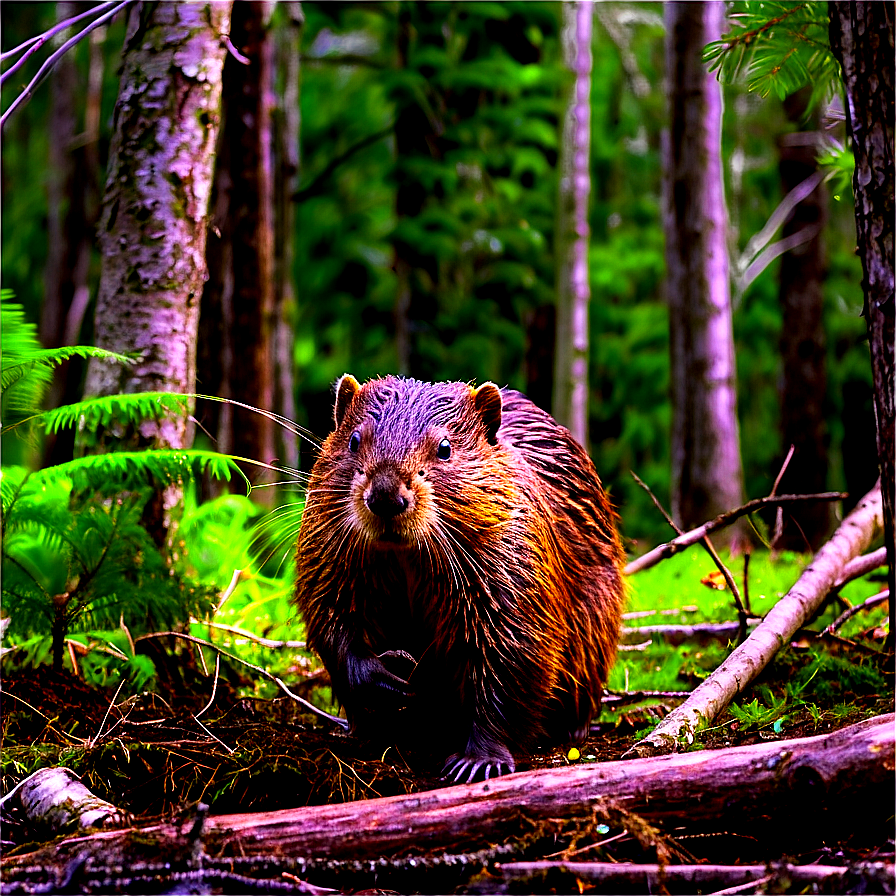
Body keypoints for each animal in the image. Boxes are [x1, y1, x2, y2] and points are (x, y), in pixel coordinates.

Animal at [294, 374, 624, 780]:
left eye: (445, 448)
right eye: (354, 440)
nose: (386, 496)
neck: (406, 558)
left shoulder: (512, 555)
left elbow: (513, 650)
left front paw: (477, 761)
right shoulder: (329, 546)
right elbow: (332, 618)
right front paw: (386, 677)